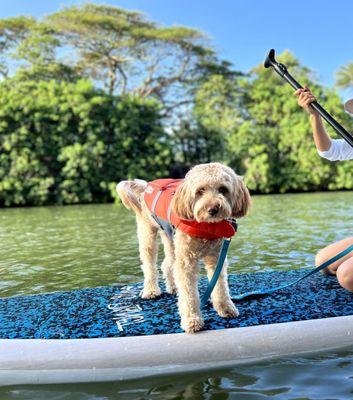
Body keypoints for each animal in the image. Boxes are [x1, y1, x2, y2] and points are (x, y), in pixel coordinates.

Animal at [116, 161, 250, 332]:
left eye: (223, 189)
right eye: (200, 190)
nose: (213, 209)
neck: (206, 227)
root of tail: (146, 186)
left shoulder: (216, 258)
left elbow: (220, 285)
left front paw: (225, 308)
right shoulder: (187, 261)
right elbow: (188, 293)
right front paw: (192, 320)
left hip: (170, 238)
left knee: (167, 264)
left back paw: (173, 287)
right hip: (148, 234)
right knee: (149, 265)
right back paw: (151, 290)